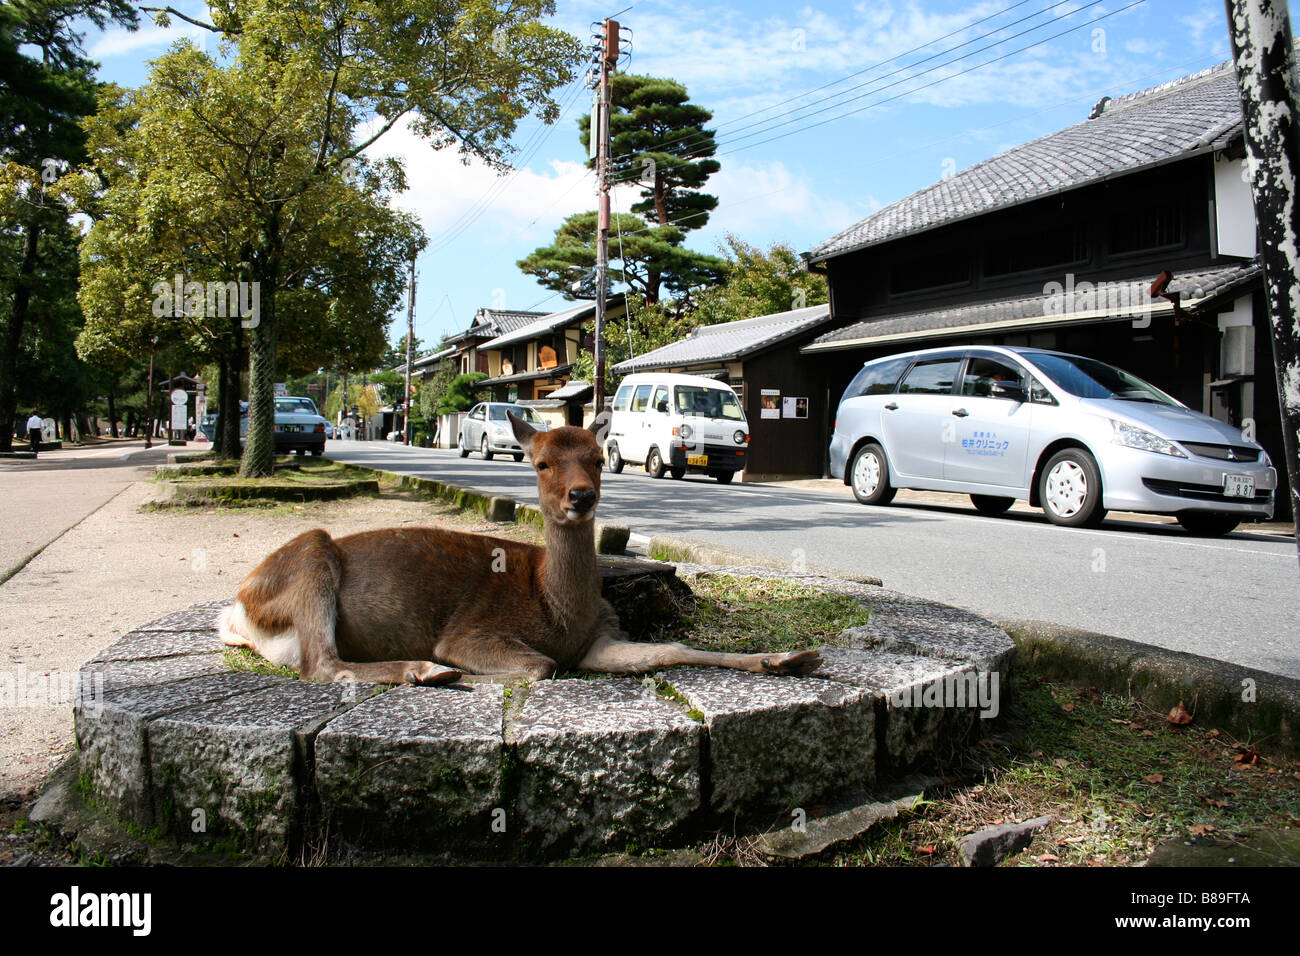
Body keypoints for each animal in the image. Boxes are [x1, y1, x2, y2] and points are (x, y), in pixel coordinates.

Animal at [217, 416, 816, 686]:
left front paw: (788, 657)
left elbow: (671, 650)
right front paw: (459, 668)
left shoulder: (599, 640)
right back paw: (427, 669)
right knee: (319, 663)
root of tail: (236, 613)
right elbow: (540, 666)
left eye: (597, 458)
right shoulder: (473, 630)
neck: (556, 609)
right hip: (309, 558)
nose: (582, 496)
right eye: (542, 462)